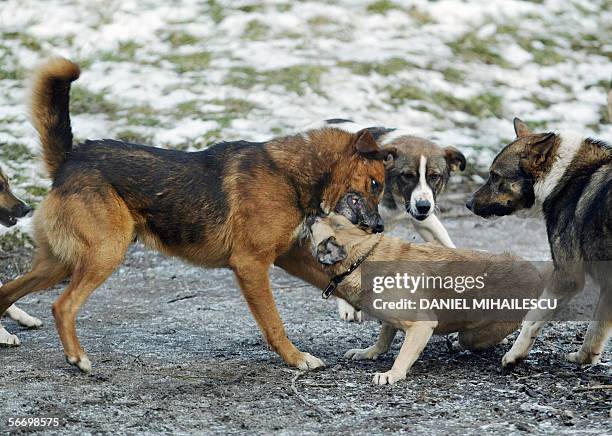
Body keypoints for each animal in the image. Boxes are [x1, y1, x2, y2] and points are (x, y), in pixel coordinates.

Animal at [0, 57, 394, 372]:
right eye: (375, 184)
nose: (379, 227)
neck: (290, 174)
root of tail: (71, 159)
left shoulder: (288, 257)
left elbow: (339, 281)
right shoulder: (251, 265)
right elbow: (274, 323)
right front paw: (297, 359)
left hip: (60, 263)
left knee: (6, 293)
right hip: (104, 253)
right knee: (62, 306)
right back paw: (77, 358)